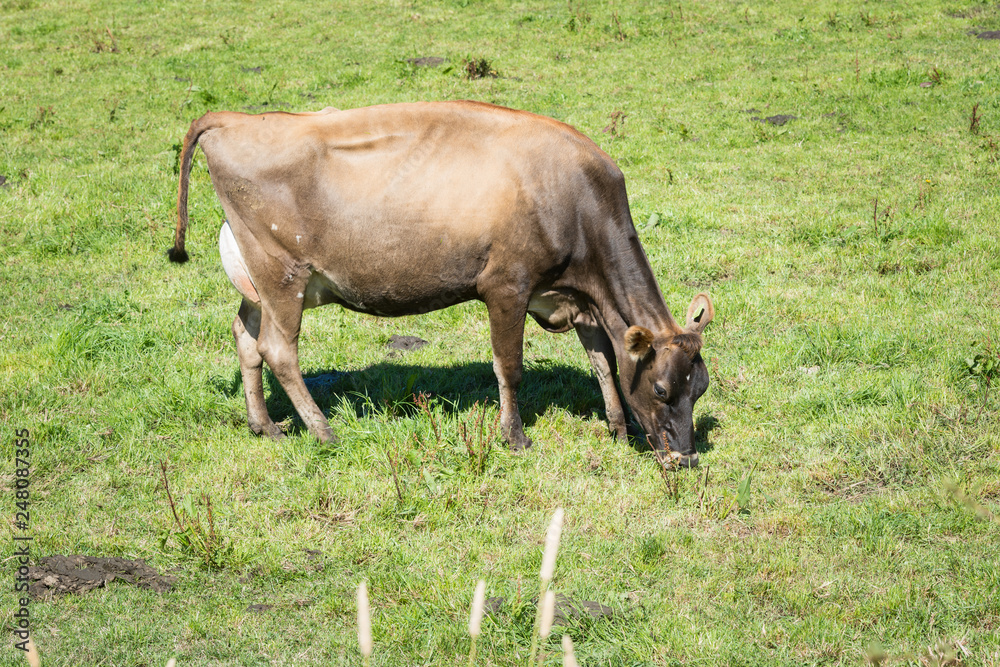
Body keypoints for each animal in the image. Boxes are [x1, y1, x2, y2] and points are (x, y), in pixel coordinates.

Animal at [168, 101, 715, 467]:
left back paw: (265, 425)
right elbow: (509, 368)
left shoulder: (573, 296)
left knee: (244, 337)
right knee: (278, 349)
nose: (685, 459)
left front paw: (618, 429)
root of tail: (235, 118)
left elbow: (603, 362)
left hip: (256, 280)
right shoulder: (507, 286)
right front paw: (515, 437)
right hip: (283, 272)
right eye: (662, 389)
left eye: (701, 388)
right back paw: (324, 432)